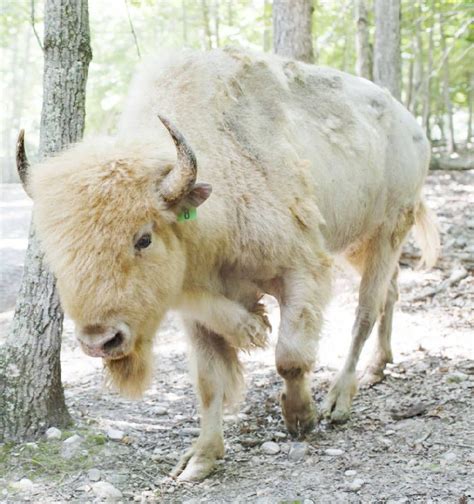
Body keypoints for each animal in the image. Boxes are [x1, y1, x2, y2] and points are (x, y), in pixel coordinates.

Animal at [18, 48, 440, 480]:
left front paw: (300, 417)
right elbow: (209, 381)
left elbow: (289, 357)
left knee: (366, 309)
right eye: (55, 250)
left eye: (143, 238)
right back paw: (377, 366)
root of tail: (411, 126)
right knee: (391, 290)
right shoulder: (194, 305)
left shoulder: (302, 268)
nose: (100, 341)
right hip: (357, 242)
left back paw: (339, 399)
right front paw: (200, 457)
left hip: (389, 227)